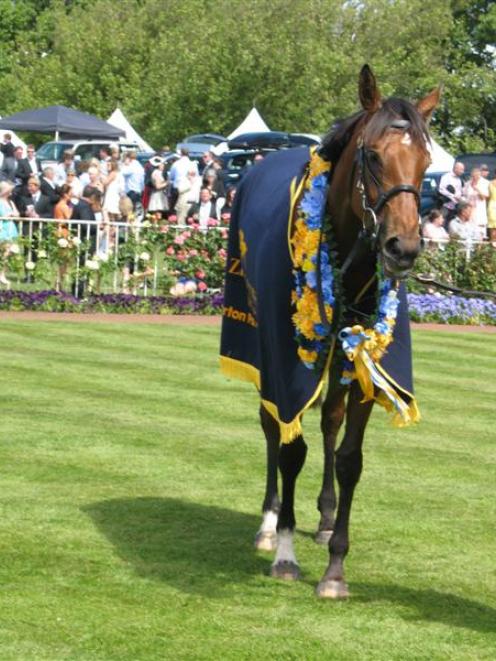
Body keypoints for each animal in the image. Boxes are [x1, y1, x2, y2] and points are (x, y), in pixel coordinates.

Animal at [220, 67, 438, 600]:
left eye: (425, 162)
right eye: (374, 155)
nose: (403, 248)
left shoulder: (365, 364)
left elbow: (349, 457)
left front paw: (336, 566)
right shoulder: (285, 362)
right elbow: (290, 445)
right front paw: (284, 551)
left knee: (329, 423)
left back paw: (322, 518)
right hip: (259, 346)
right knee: (272, 426)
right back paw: (269, 521)